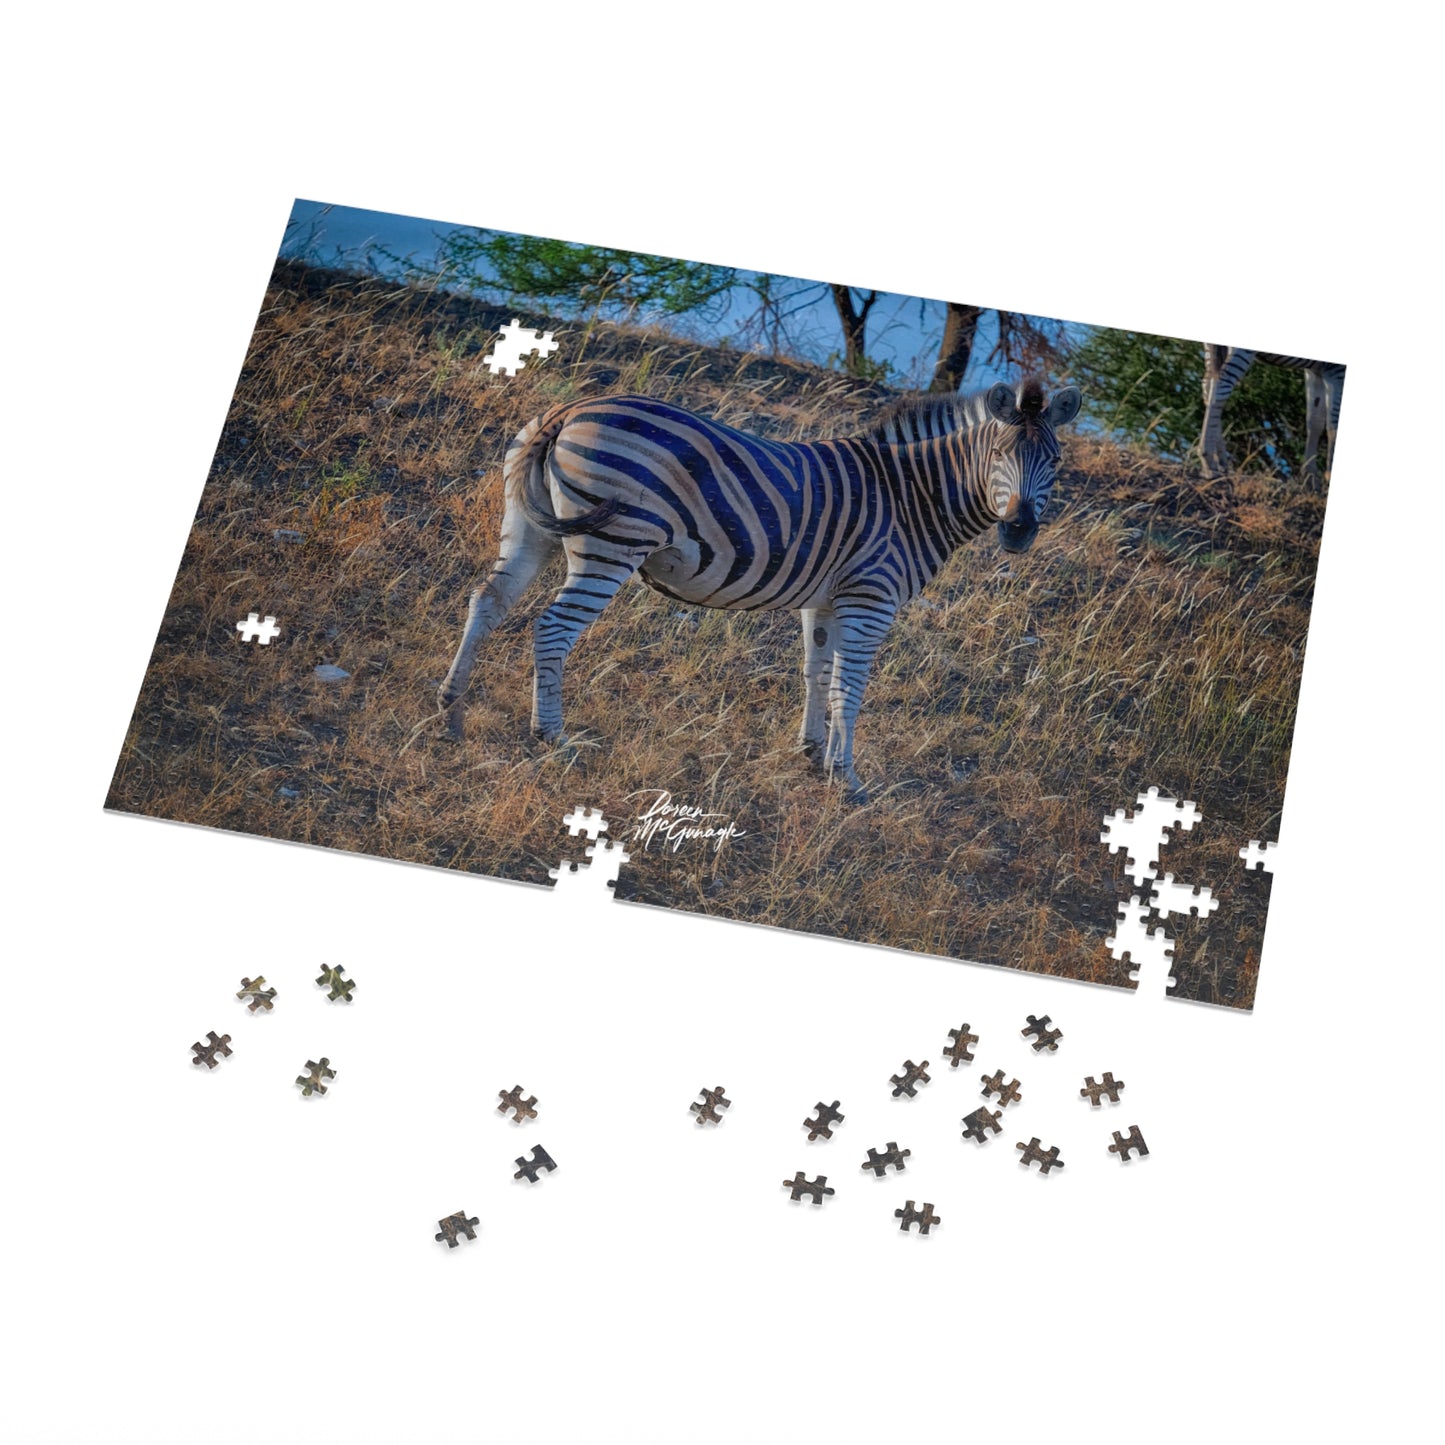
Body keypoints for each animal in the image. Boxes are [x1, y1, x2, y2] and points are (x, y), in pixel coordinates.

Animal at [438, 378, 1082, 799]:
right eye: (999, 454)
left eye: (1053, 461)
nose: (1019, 531)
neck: (912, 497)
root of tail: (570, 410)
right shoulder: (870, 598)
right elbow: (850, 688)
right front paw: (847, 780)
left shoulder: (826, 600)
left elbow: (816, 673)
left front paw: (812, 754)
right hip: (614, 542)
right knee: (551, 629)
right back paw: (552, 736)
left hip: (531, 526)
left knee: (487, 600)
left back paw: (451, 704)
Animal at [1199, 344, 1344, 484]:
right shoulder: (1337, 370)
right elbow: (1334, 425)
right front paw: (1328, 476)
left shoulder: (1315, 369)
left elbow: (1315, 421)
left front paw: (1310, 476)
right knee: (1221, 385)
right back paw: (1208, 461)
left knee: (1208, 385)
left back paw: (1220, 464)